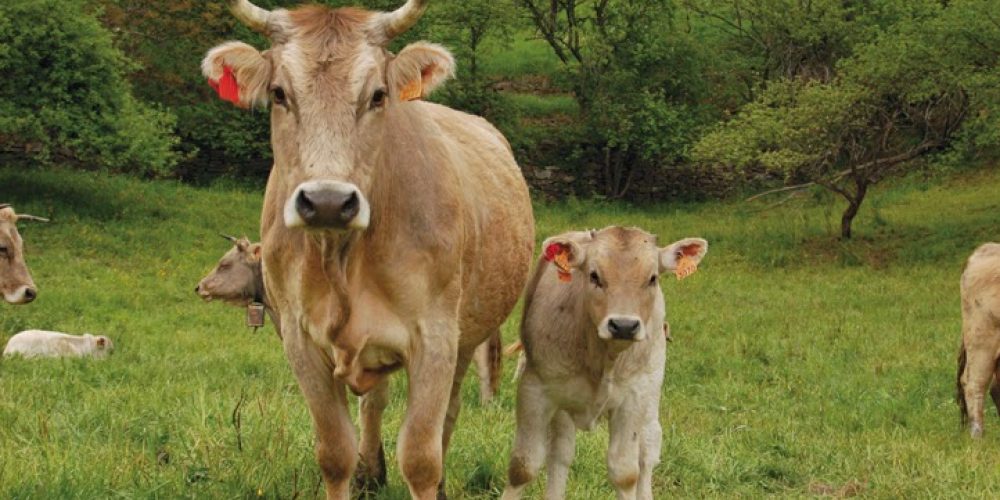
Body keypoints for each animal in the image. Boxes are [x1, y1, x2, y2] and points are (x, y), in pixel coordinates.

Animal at [200, 1, 535, 498]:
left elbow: (421, 456)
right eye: (279, 93)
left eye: (378, 95)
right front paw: (356, 470)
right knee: (374, 402)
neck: (342, 260)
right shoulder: (299, 340)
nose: (327, 201)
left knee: (448, 415)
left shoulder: (436, 337)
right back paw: (370, 473)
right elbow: (334, 451)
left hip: (466, 336)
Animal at [501, 227, 707, 500]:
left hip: (651, 389)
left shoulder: (632, 399)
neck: (602, 358)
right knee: (561, 452)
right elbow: (523, 466)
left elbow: (625, 472)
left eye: (652, 278)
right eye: (594, 275)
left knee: (648, 449)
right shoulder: (535, 390)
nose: (624, 325)